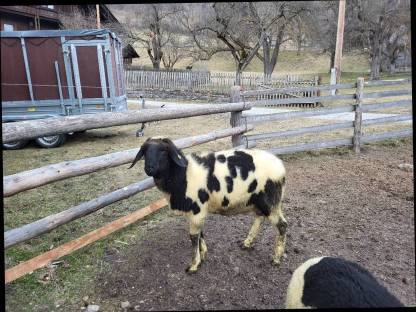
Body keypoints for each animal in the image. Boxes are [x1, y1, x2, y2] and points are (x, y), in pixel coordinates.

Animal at [128, 136, 288, 272]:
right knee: (259, 218)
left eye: (163, 151)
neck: (182, 176)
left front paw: (193, 265)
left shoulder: (196, 210)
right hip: (259, 201)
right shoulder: (196, 211)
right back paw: (247, 243)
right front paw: (203, 253)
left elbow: (193, 237)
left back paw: (276, 258)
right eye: (144, 151)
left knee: (282, 225)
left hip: (270, 200)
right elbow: (200, 234)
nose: (149, 168)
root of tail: (280, 167)